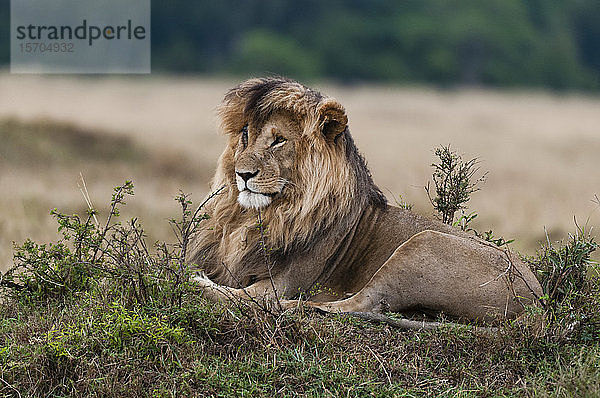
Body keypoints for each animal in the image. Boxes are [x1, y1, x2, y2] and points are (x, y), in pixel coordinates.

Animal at [189, 77, 544, 324]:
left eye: (279, 141)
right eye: (245, 135)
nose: (242, 173)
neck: (261, 216)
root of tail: (538, 302)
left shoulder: (284, 281)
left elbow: (238, 294)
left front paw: (196, 281)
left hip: (422, 245)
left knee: (361, 302)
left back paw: (289, 306)